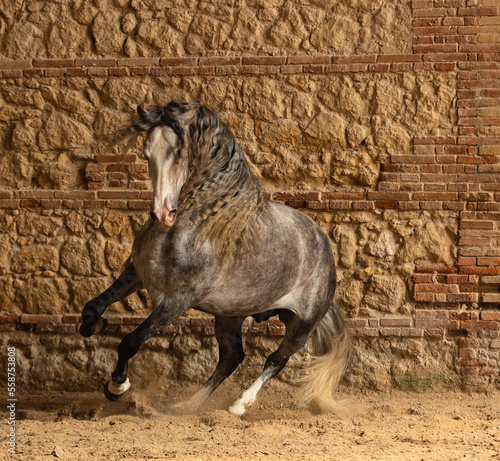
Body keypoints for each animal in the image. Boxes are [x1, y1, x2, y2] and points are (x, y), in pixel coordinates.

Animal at [79, 101, 352, 416]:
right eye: (147, 152)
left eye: (178, 152)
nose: (162, 213)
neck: (198, 225)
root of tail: (325, 250)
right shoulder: (136, 273)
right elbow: (92, 307)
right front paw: (91, 327)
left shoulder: (176, 301)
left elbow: (130, 341)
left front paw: (117, 387)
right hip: (229, 316)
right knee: (232, 358)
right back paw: (186, 405)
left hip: (301, 325)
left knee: (276, 359)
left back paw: (239, 405)